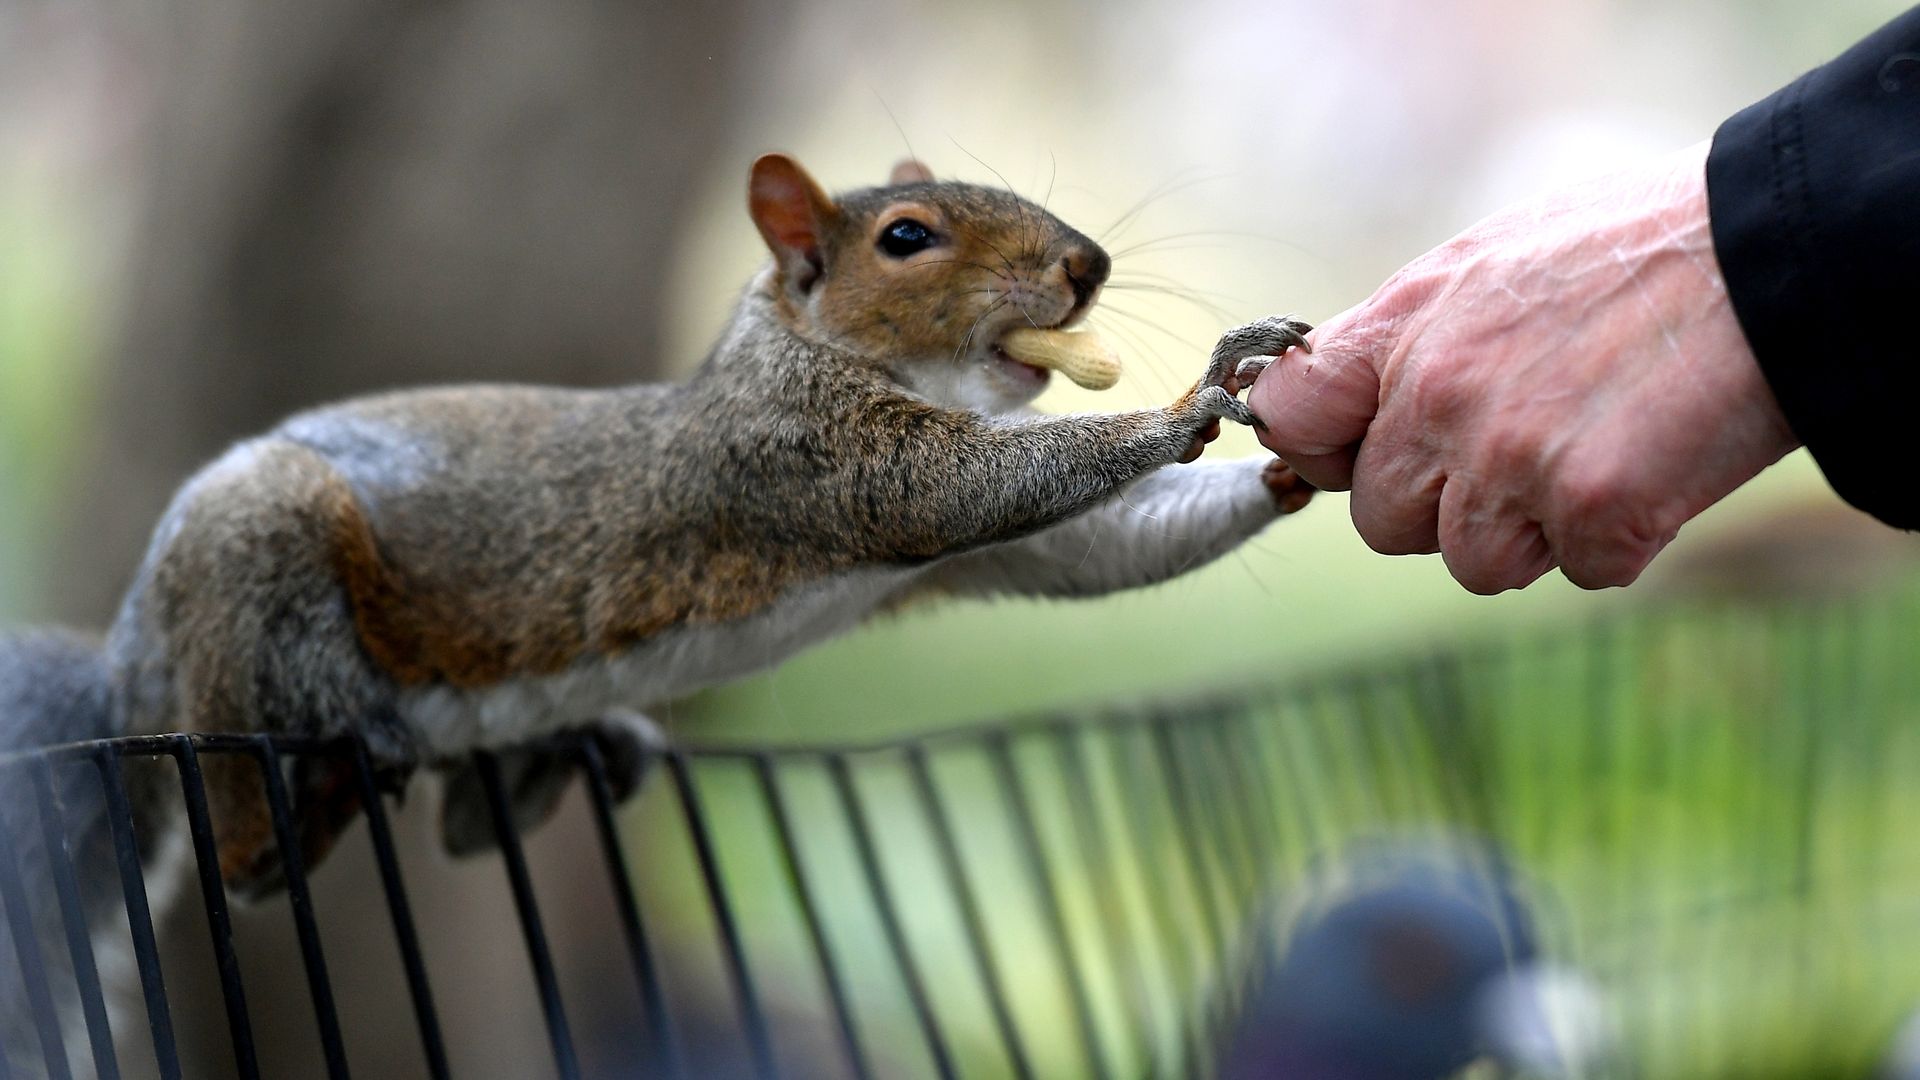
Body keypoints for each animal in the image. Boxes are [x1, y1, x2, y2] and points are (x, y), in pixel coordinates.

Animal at [0, 154, 1315, 904]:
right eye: (905, 238)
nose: (1089, 266)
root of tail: (134, 657)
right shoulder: (803, 457)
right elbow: (966, 487)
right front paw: (1196, 398)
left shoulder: (1001, 542)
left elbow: (1094, 546)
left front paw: (1287, 471)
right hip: (252, 575)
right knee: (243, 858)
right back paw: (332, 762)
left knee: (464, 825)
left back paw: (561, 759)